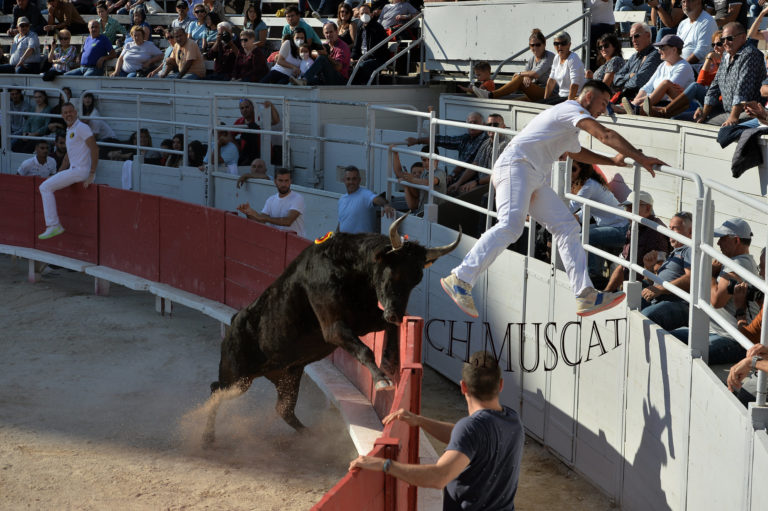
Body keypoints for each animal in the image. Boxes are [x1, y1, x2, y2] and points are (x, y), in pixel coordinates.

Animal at [201, 214, 460, 446]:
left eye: (417, 279)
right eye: (393, 272)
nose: (395, 313)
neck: (349, 270)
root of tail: (235, 319)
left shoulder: (364, 320)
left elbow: (386, 330)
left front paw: (390, 361)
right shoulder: (334, 328)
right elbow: (365, 350)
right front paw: (381, 380)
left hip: (288, 374)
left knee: (283, 409)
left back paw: (309, 434)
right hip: (237, 377)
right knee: (216, 390)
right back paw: (206, 437)